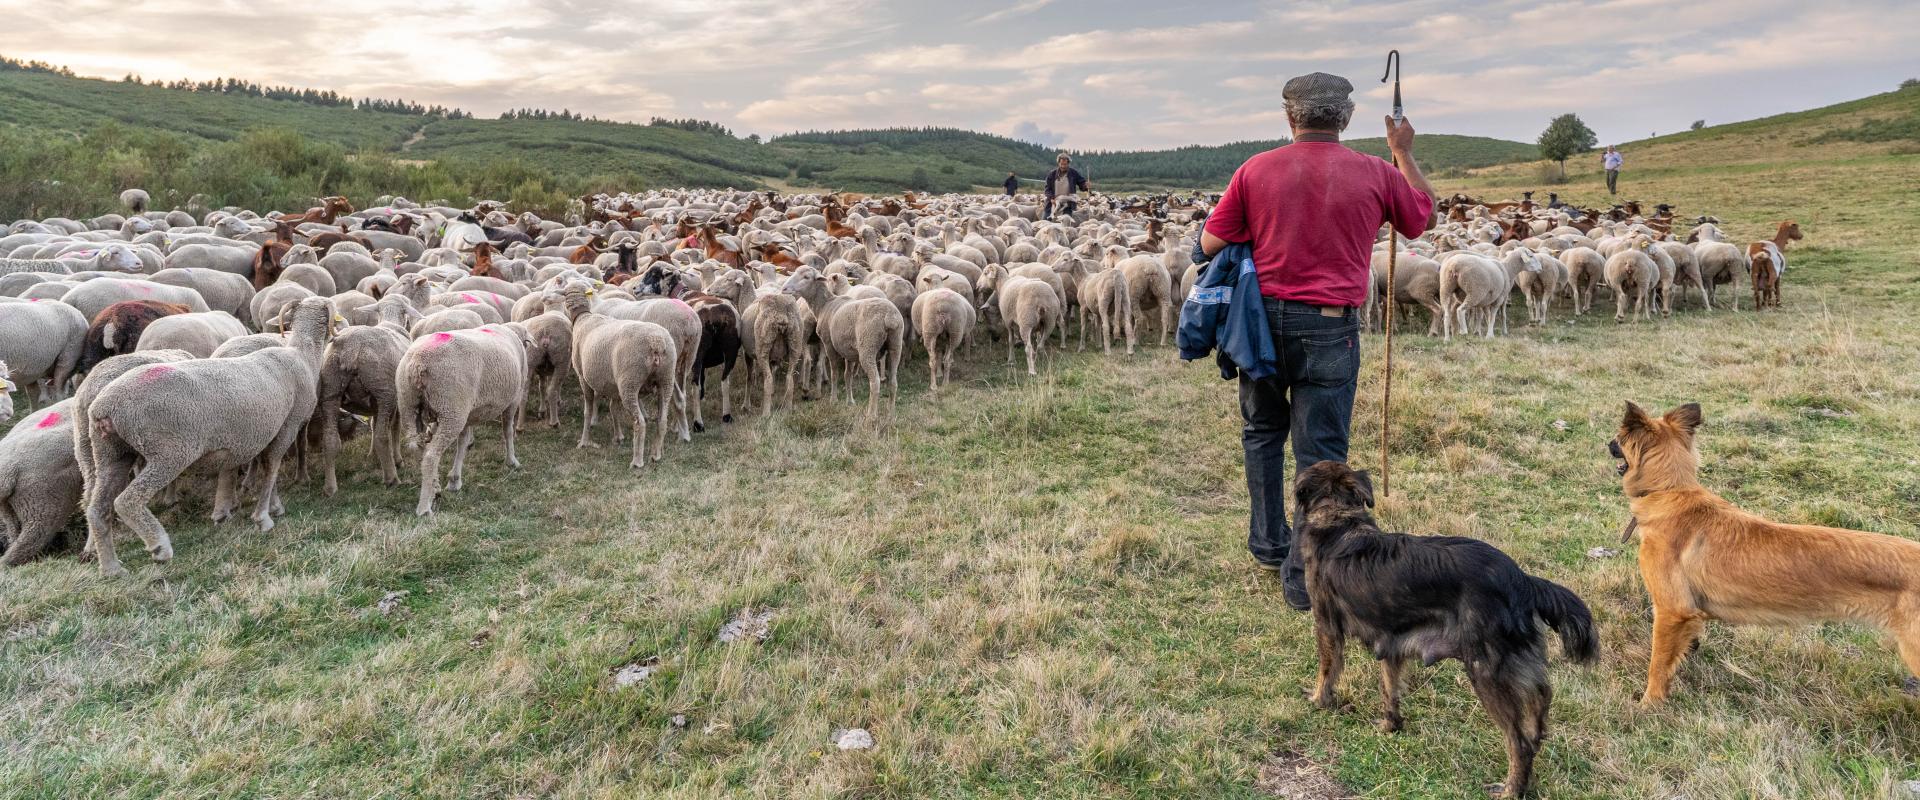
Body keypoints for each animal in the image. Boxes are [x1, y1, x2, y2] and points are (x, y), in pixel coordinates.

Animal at [83, 297, 334, 575]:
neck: (302, 354)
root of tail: (105, 407)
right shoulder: (287, 425)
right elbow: (272, 467)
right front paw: (264, 517)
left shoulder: (263, 432)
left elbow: (268, 468)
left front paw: (269, 506)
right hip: (169, 451)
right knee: (127, 500)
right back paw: (159, 546)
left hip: (110, 452)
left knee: (96, 508)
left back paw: (111, 567)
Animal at [397, 322, 529, 514]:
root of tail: (418, 361)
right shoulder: (513, 399)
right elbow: (508, 431)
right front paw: (512, 461)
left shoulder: (468, 412)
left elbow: (463, 441)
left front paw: (455, 480)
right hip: (450, 409)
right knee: (431, 456)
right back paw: (424, 507)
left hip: (409, 405)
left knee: (419, 448)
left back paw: (434, 488)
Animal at [1297, 458, 1597, 794]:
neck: (1338, 518)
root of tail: (1523, 580)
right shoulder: (1392, 640)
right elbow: (1389, 688)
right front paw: (1390, 725)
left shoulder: (1327, 625)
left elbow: (1327, 670)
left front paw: (1319, 701)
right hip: (1518, 666)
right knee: (1540, 701)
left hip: (1485, 671)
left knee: (1518, 742)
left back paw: (1510, 790)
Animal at [1612, 402, 1912, 702]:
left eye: (1618, 438)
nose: (1608, 443)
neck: (1668, 490)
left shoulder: (1670, 611)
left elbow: (1658, 665)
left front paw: (1648, 704)